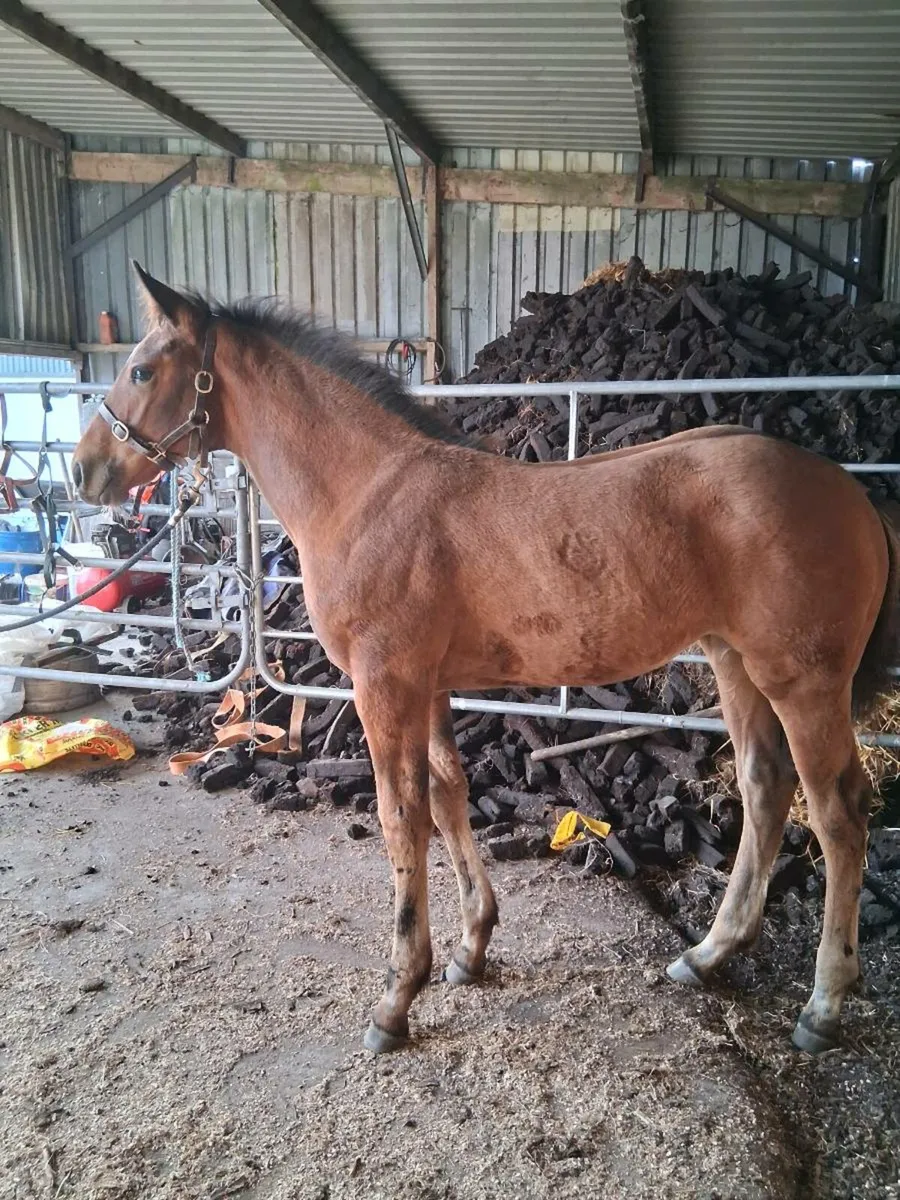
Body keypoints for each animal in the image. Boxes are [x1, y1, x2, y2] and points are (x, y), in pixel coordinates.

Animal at [72, 263, 898, 1057]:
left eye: (142, 370)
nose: (84, 471)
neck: (365, 494)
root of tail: (855, 496)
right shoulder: (429, 686)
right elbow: (447, 795)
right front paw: (470, 949)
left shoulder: (384, 685)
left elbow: (401, 816)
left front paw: (397, 998)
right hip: (736, 664)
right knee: (764, 787)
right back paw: (708, 955)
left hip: (803, 679)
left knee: (838, 812)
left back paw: (823, 1006)